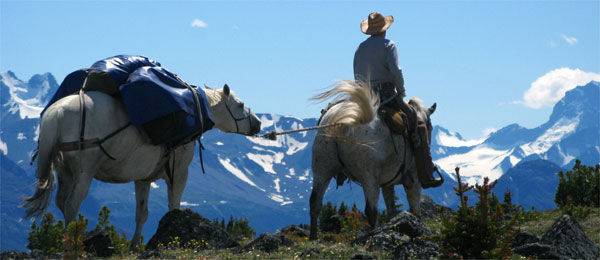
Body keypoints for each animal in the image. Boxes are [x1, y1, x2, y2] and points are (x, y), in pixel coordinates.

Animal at [21, 84, 260, 249]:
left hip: (65, 172)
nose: (257, 124)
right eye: (240, 104)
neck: (194, 111)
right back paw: (73, 242)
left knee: (62, 202)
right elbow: (174, 207)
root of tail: (58, 112)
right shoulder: (179, 173)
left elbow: (141, 213)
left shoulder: (143, 179)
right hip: (84, 173)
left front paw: (135, 245)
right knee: (72, 205)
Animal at [310, 80, 436, 241]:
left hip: (321, 168)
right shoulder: (413, 178)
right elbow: (414, 207)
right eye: (429, 126)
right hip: (369, 176)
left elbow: (391, 208)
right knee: (371, 210)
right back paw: (373, 234)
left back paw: (313, 237)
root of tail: (342, 122)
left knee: (315, 202)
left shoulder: (388, 184)